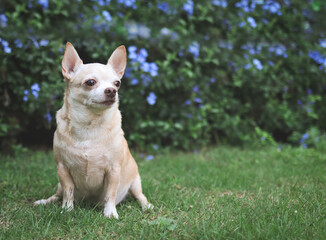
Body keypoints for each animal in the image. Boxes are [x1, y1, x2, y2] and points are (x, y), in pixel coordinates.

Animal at [33, 42, 153, 218]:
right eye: (90, 82)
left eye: (117, 83)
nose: (112, 91)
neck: (89, 124)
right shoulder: (62, 168)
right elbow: (68, 191)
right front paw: (67, 209)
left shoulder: (113, 170)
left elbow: (110, 193)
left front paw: (110, 212)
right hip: (59, 184)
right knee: (58, 194)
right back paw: (45, 201)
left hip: (135, 181)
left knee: (139, 195)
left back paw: (146, 206)